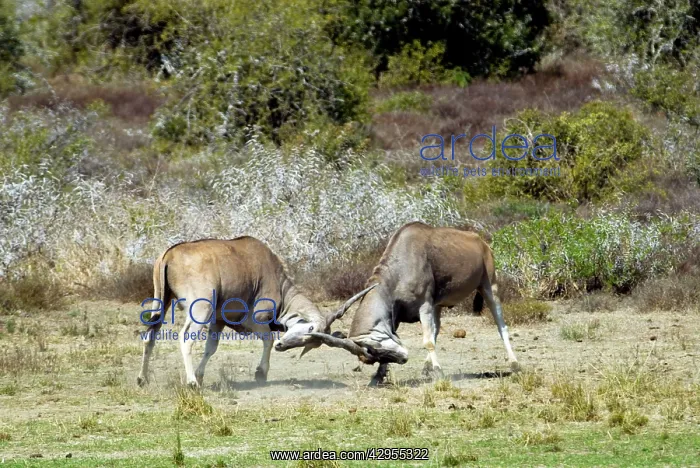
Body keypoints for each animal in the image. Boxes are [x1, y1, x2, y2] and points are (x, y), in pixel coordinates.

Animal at [136, 237, 371, 388]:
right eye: (310, 329)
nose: (282, 346)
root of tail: (170, 254)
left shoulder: (218, 321)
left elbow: (211, 348)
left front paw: (201, 374)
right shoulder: (252, 320)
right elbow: (267, 338)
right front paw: (261, 373)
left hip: (162, 302)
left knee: (150, 336)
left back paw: (142, 379)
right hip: (200, 309)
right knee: (185, 338)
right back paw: (191, 382)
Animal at [276, 222, 520, 385]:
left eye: (372, 348)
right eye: (372, 355)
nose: (403, 358)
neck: (400, 265)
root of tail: (482, 242)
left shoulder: (424, 306)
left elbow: (427, 341)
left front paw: (438, 372)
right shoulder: (402, 314)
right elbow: (429, 336)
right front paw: (378, 377)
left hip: (489, 286)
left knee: (501, 325)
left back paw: (515, 364)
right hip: (439, 306)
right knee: (437, 330)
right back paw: (426, 368)